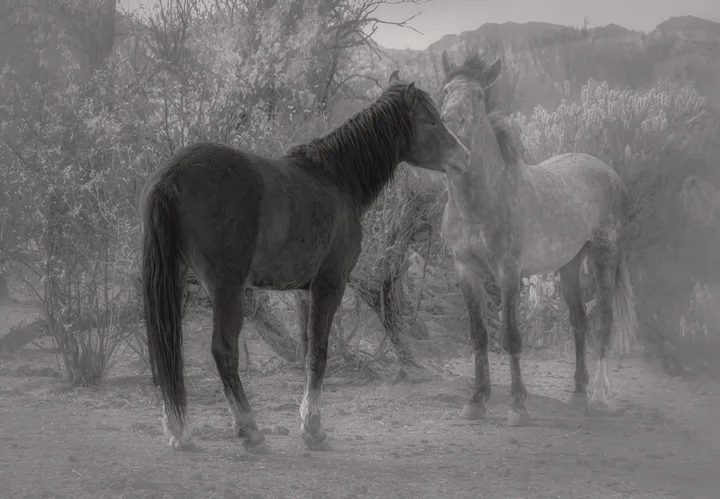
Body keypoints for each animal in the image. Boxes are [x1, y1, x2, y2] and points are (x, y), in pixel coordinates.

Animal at [139, 70, 470, 453]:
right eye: (431, 120)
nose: (464, 156)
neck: (338, 178)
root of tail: (171, 176)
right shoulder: (330, 284)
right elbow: (319, 353)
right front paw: (313, 429)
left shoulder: (302, 291)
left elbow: (305, 349)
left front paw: (306, 421)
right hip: (226, 288)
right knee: (223, 351)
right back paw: (249, 430)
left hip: (176, 278)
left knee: (167, 344)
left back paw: (178, 430)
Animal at [438, 52, 639, 426]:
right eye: (445, 90)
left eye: (478, 95)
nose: (450, 125)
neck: (484, 197)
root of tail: (610, 174)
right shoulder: (467, 272)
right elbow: (479, 335)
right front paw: (476, 401)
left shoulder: (508, 273)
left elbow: (511, 336)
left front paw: (518, 406)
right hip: (569, 265)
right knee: (579, 322)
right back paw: (578, 394)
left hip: (604, 256)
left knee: (604, 321)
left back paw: (599, 396)